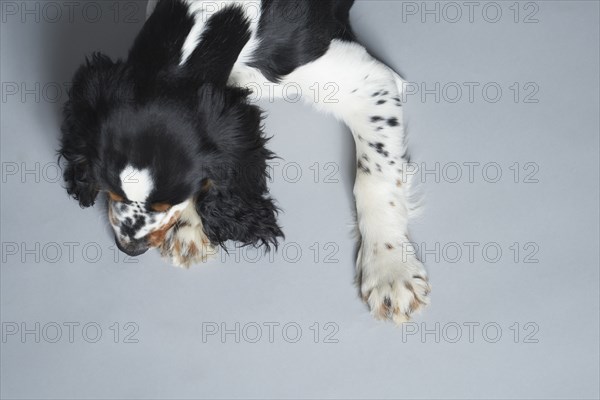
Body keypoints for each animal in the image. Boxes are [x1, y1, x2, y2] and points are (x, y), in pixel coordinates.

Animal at [58, 0, 428, 324]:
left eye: (167, 201)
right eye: (111, 191)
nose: (130, 249)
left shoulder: (371, 82)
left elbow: (374, 178)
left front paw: (390, 267)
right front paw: (188, 227)